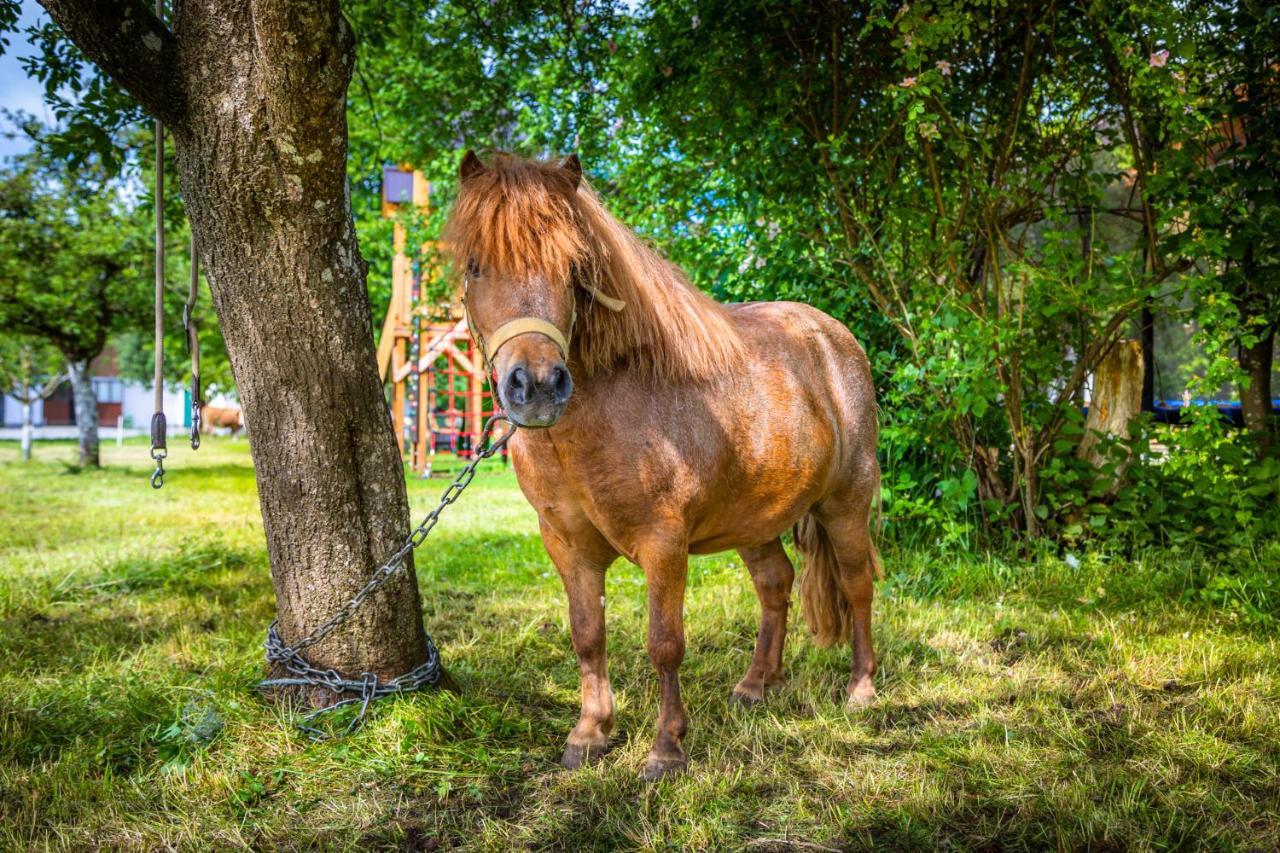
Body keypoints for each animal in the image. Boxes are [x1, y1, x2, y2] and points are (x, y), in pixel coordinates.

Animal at [442, 151, 880, 778]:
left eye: (572, 269)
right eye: (476, 267)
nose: (539, 386)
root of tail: (835, 339)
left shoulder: (663, 543)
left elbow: (664, 643)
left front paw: (666, 748)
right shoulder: (566, 545)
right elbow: (587, 635)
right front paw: (590, 734)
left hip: (846, 503)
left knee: (857, 584)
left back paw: (861, 689)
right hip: (755, 520)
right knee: (776, 584)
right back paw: (757, 684)